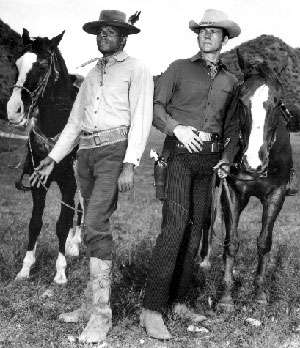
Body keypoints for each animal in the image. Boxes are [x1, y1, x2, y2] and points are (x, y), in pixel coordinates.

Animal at [7, 28, 82, 284]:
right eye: (17, 63)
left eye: (41, 65)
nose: (13, 110)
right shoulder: (38, 182)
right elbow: (35, 223)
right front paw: (25, 268)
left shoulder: (69, 183)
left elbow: (61, 223)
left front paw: (60, 271)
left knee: (81, 210)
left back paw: (75, 244)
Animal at [214, 49, 292, 308]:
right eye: (240, 100)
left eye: (277, 102)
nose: (254, 163)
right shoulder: (231, 191)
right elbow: (232, 241)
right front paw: (226, 296)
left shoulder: (277, 193)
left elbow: (264, 242)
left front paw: (259, 293)